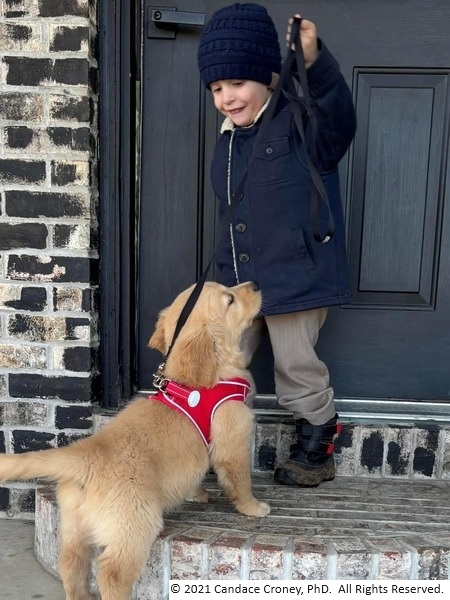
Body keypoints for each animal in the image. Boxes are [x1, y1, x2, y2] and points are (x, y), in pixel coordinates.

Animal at [0, 282, 268, 600]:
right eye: (230, 299)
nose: (255, 284)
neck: (204, 377)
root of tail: (88, 453)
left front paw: (197, 493)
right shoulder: (234, 439)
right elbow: (240, 480)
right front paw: (253, 508)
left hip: (74, 523)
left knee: (71, 561)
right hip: (135, 522)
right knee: (112, 572)